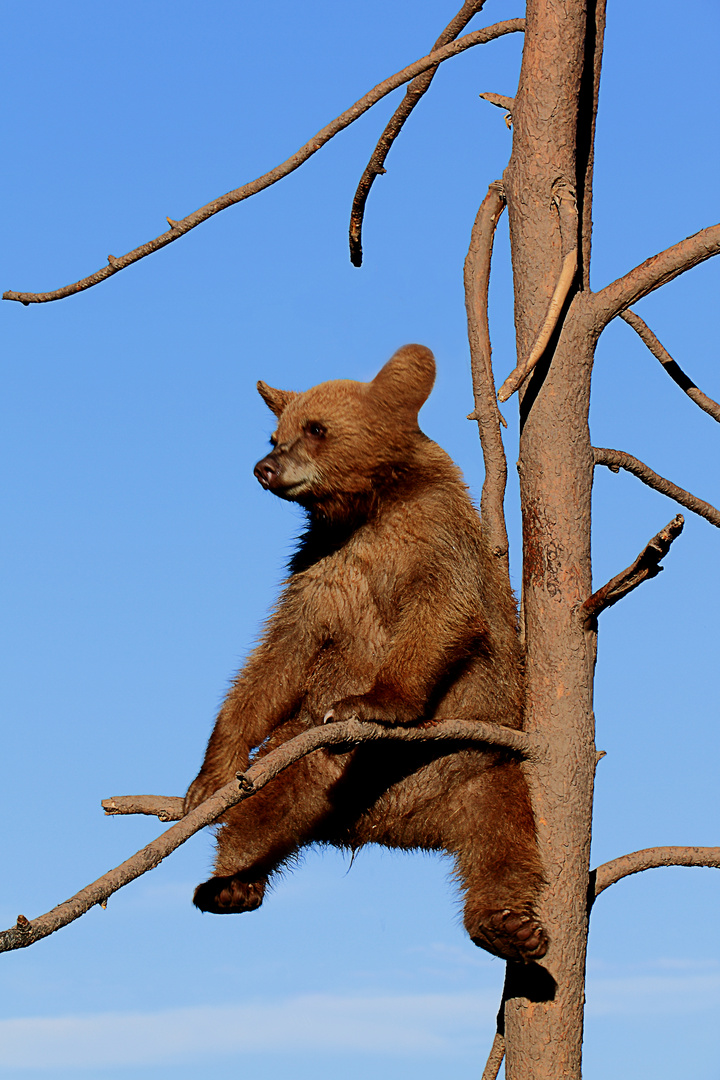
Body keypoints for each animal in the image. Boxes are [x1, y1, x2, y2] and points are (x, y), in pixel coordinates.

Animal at [184, 345, 546, 963]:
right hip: (314, 759)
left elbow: (441, 611)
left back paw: (509, 926)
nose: (265, 468)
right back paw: (231, 884)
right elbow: (279, 655)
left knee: (504, 840)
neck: (369, 507)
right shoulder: (321, 568)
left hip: (476, 767)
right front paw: (210, 778)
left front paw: (375, 701)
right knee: (267, 808)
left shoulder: (430, 537)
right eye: (274, 433)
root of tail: (394, 829)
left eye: (316, 428)